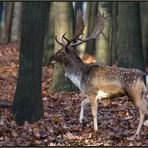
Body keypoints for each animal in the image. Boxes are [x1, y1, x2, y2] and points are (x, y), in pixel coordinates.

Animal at [48, 9, 148, 139]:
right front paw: (81, 120)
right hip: (142, 94)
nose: (50, 59)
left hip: (134, 93)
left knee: (143, 110)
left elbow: (94, 112)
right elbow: (82, 103)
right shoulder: (95, 95)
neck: (80, 77)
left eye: (60, 52)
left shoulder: (91, 92)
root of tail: (144, 76)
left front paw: (95, 130)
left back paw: (136, 133)